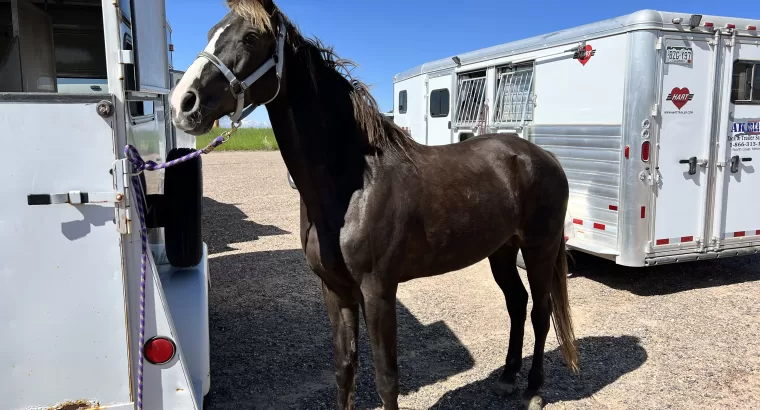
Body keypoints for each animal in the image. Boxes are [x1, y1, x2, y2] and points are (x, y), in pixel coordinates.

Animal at [169, 1, 580, 408]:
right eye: (210, 33)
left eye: (251, 37)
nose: (182, 103)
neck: (353, 186)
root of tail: (544, 157)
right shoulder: (335, 290)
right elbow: (344, 369)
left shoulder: (378, 291)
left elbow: (386, 379)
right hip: (502, 250)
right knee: (517, 303)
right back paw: (508, 378)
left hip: (539, 248)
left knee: (541, 312)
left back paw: (533, 389)